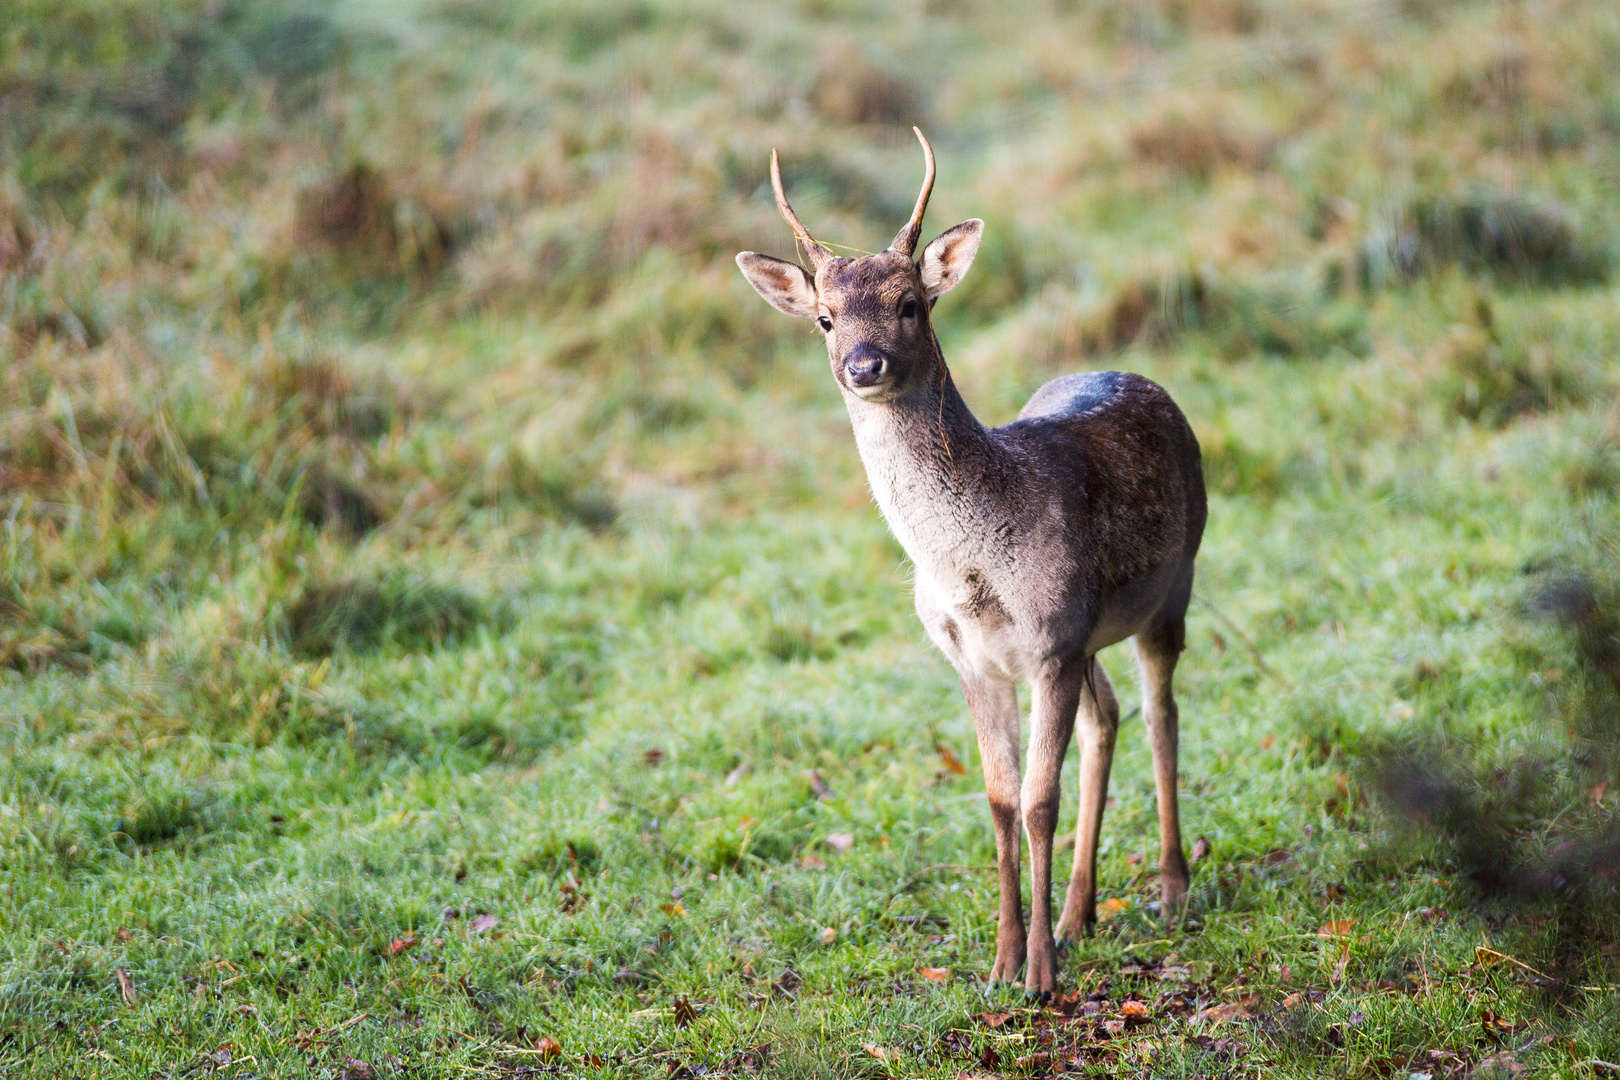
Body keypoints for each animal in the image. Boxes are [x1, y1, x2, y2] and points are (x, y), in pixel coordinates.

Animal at [735, 128, 1205, 997]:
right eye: (823, 318)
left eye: (910, 304)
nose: (863, 365)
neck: (972, 569)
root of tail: (1145, 379)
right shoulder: (979, 657)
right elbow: (997, 799)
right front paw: (1002, 960)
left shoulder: (1051, 638)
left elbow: (1039, 800)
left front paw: (1041, 977)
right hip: (1092, 633)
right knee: (1108, 717)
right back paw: (1080, 913)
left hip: (1175, 584)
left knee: (1162, 713)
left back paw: (1172, 888)